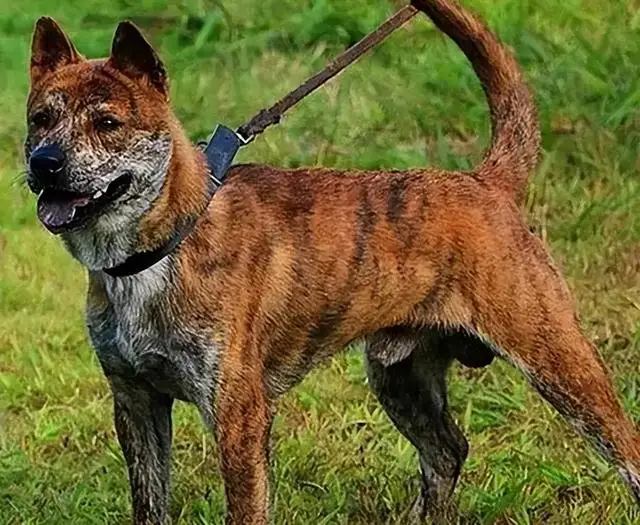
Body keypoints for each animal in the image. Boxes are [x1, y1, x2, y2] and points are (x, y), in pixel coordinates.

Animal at [23, 0, 640, 520]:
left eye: (107, 123)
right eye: (40, 119)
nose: (44, 162)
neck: (163, 248)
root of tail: (486, 183)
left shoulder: (238, 416)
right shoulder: (136, 403)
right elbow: (150, 503)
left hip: (559, 361)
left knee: (626, 452)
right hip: (400, 378)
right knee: (447, 451)